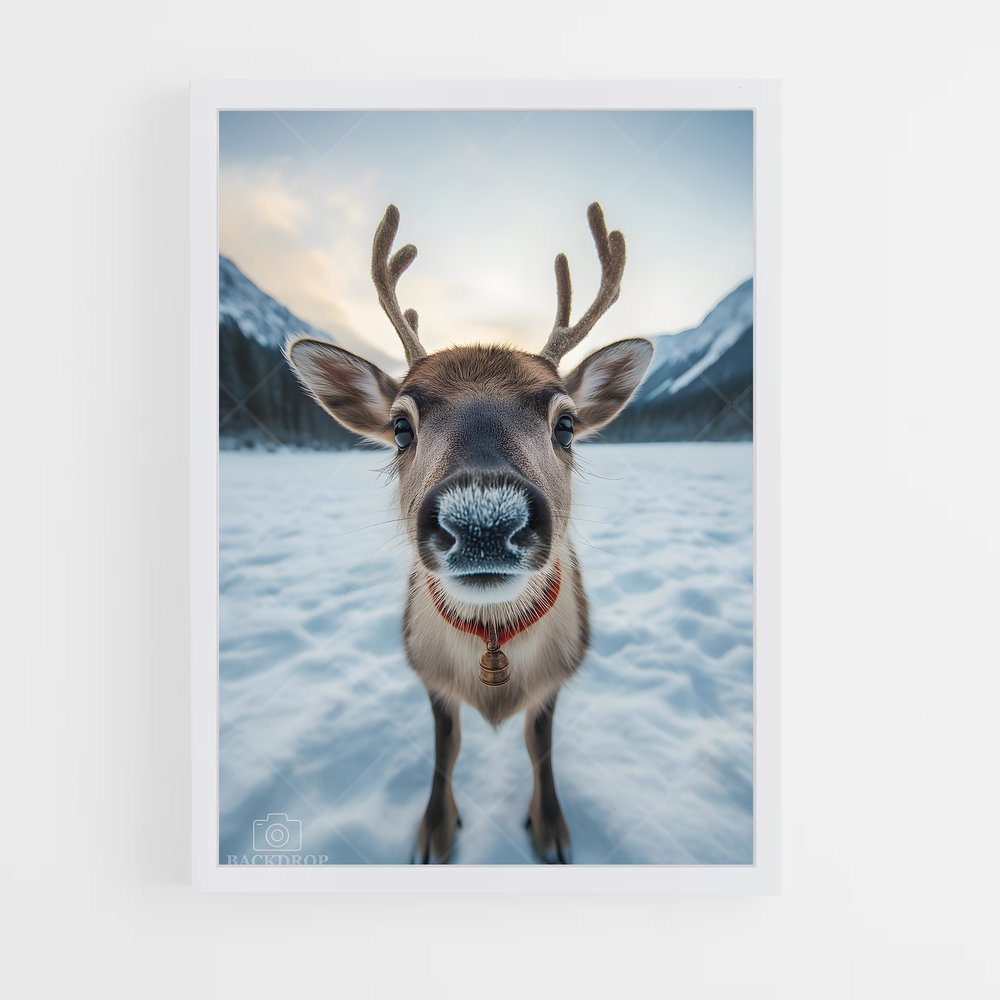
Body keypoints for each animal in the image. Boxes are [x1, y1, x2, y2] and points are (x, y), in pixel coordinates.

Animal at [285, 203, 653, 863]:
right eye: (399, 427)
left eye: (567, 424)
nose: (484, 518)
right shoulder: (427, 674)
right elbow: (445, 748)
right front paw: (434, 830)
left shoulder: (558, 677)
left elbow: (540, 746)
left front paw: (551, 828)